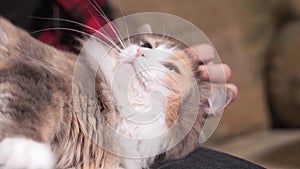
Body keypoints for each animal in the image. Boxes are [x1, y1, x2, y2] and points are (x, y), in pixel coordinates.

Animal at [0, 16, 233, 169]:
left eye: (171, 68)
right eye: (146, 45)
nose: (140, 52)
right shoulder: (33, 75)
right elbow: (25, 112)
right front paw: (22, 152)